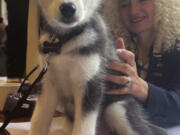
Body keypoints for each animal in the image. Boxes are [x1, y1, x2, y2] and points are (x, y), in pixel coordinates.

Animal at [28, 0, 167, 135]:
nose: (68, 8)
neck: (66, 39)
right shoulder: (48, 83)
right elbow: (38, 121)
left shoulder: (90, 83)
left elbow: (83, 129)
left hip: (116, 109)